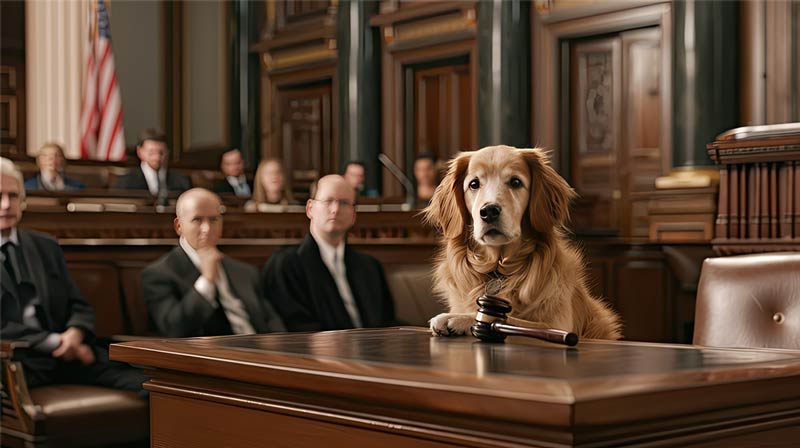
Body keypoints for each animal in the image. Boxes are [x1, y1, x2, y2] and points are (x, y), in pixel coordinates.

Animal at [422, 145, 620, 338]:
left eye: (516, 182)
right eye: (474, 184)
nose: (489, 211)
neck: (498, 271)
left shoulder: (558, 323)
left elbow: (512, 319)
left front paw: (457, 318)